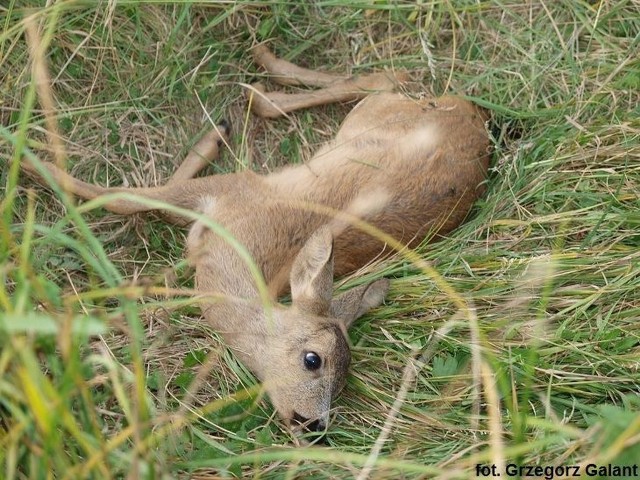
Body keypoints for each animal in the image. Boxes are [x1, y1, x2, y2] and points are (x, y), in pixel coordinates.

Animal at [18, 44, 490, 438]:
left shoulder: (228, 196)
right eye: (313, 359)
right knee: (387, 76)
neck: (245, 248)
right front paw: (28, 156)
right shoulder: (235, 188)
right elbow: (122, 199)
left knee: (386, 76)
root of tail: (475, 116)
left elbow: (136, 209)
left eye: (344, 381)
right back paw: (255, 81)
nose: (312, 425)